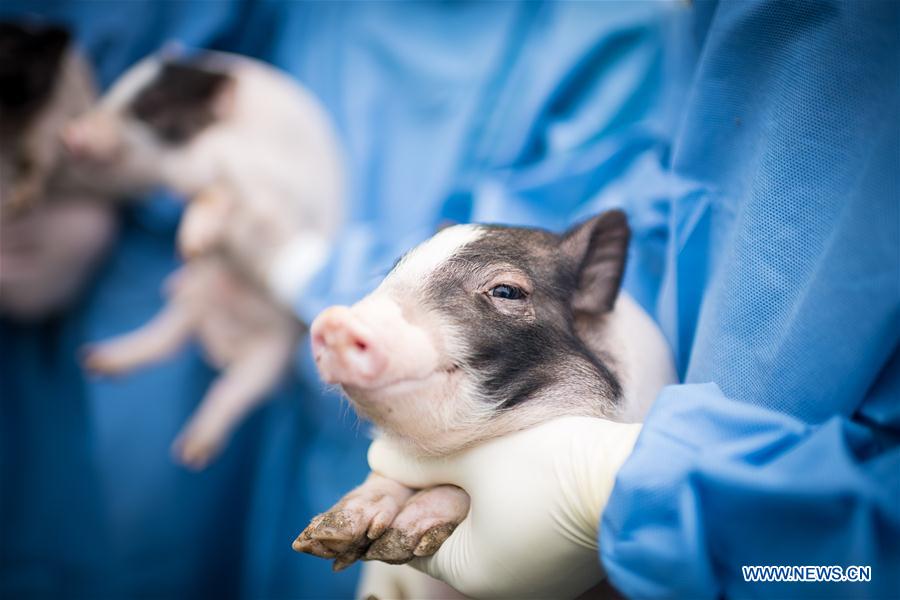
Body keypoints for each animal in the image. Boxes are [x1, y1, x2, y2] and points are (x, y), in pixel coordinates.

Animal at [63, 48, 345, 469]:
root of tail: (219, 340)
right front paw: (190, 250)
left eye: (151, 106)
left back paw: (191, 454)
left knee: (230, 393)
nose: (71, 135)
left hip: (269, 356)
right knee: (161, 341)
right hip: (188, 306)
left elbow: (223, 196)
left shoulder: (273, 199)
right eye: (115, 87)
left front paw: (191, 243)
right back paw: (96, 360)